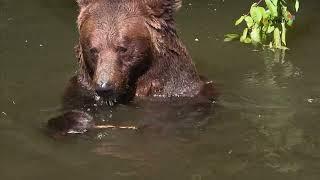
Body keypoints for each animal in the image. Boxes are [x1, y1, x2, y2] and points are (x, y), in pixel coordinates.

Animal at [46, 0, 216, 135]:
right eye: (93, 49)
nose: (104, 87)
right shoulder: (80, 91)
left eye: (122, 48)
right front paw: (78, 121)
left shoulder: (179, 93)